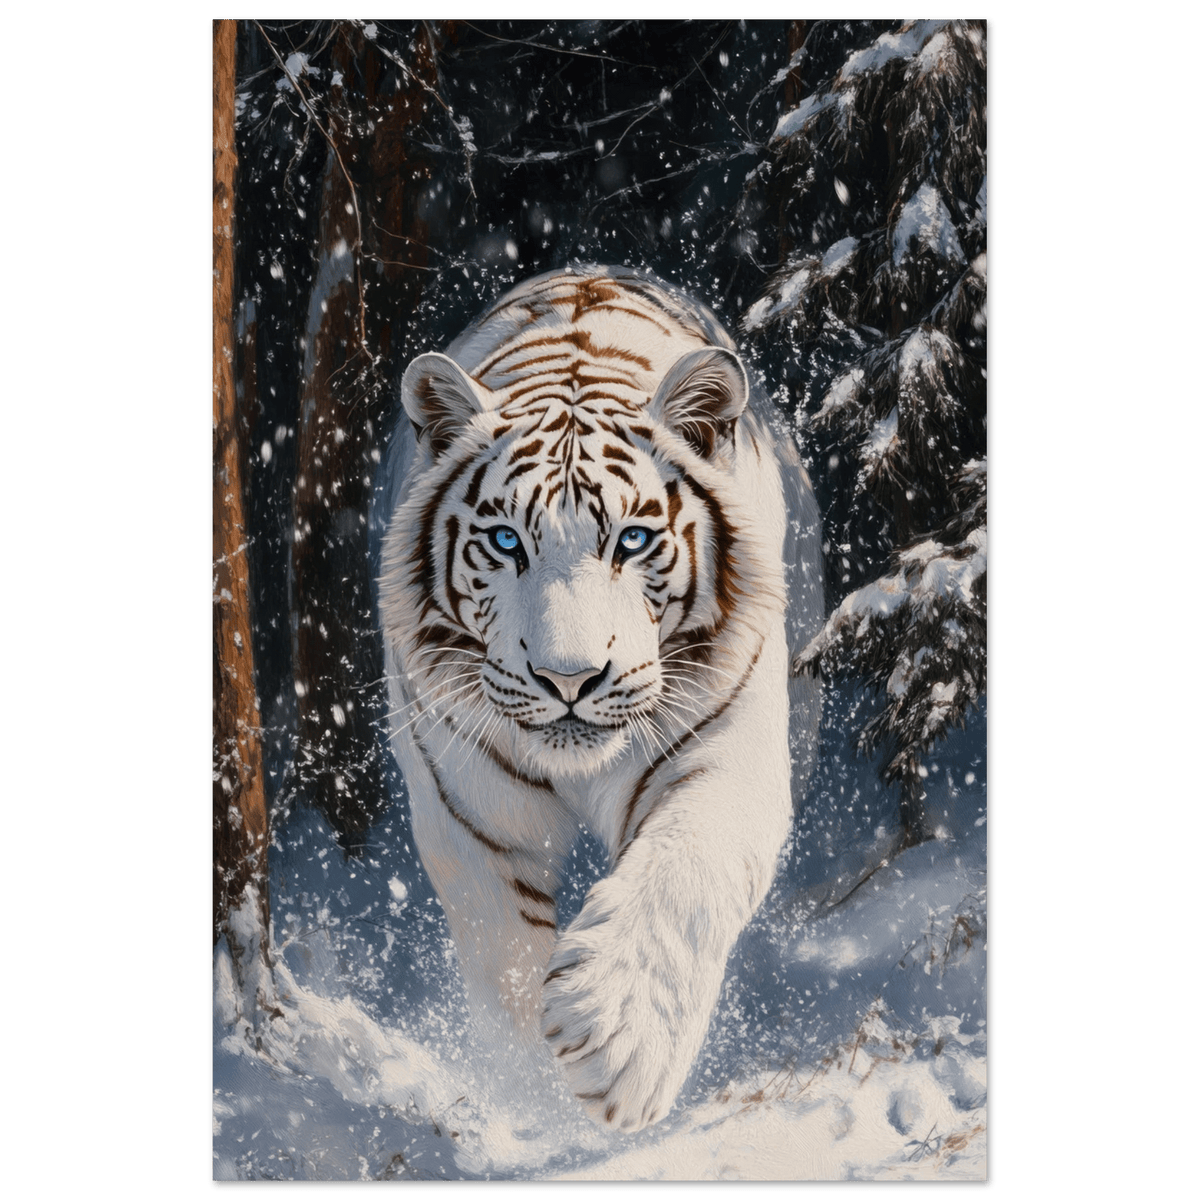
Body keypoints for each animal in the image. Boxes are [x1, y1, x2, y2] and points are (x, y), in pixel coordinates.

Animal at [377, 265, 823, 1133]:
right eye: (506, 542)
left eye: (634, 541)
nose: (569, 679)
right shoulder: (468, 811)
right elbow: (503, 959)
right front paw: (536, 1100)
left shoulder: (727, 757)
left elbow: (685, 876)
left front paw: (616, 1041)